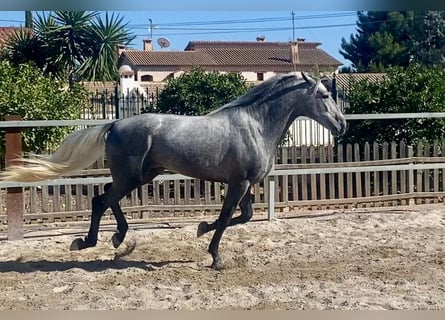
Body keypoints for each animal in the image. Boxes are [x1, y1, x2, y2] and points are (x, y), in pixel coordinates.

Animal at [1, 71, 346, 268]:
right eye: (323, 95)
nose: (341, 124)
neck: (255, 124)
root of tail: (114, 124)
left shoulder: (246, 184)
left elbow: (243, 216)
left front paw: (201, 228)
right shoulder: (237, 183)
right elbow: (225, 218)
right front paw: (215, 257)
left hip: (141, 175)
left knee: (107, 198)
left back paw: (117, 239)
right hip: (131, 177)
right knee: (101, 200)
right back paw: (89, 242)